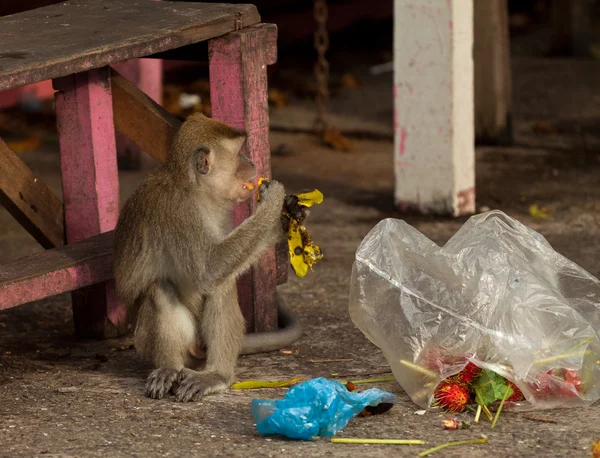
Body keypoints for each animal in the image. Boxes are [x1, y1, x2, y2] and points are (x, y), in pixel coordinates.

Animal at [114, 112, 288, 402]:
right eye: (239, 152)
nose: (251, 162)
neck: (194, 189)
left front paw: (285, 222)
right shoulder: (179, 211)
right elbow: (210, 270)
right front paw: (275, 202)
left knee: (221, 285)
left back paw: (216, 373)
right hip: (150, 343)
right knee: (165, 287)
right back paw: (172, 367)